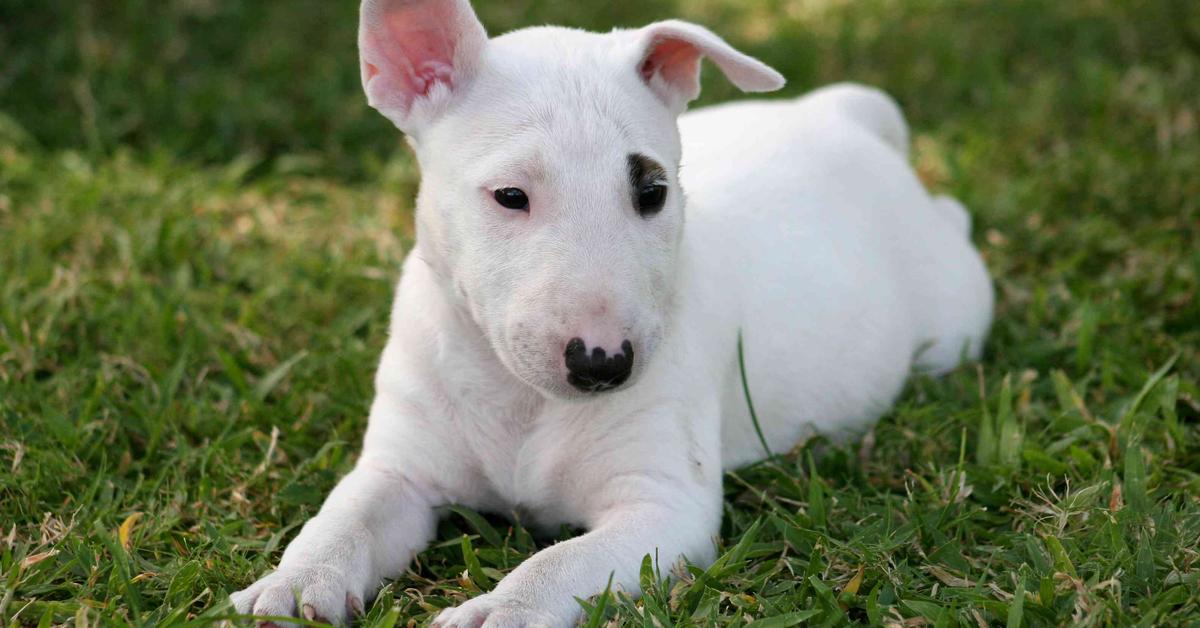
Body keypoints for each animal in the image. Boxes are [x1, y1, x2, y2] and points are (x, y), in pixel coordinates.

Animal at [229, 0, 988, 624]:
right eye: (510, 195)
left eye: (653, 191)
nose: (604, 365)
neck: (520, 397)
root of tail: (840, 116)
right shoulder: (401, 467)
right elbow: (345, 518)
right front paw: (292, 586)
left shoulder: (662, 507)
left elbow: (560, 560)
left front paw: (500, 611)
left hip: (954, 311)